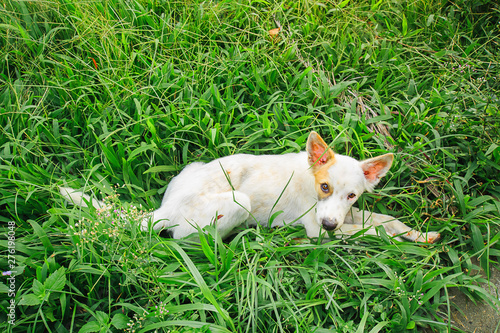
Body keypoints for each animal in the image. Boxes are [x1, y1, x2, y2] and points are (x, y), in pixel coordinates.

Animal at [60, 131, 440, 243]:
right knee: (190, 240)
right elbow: (373, 232)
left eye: (351, 194)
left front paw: (419, 234)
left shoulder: (346, 214)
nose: (331, 223)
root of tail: (163, 209)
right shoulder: (316, 229)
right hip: (236, 202)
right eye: (324, 187)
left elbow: (383, 221)